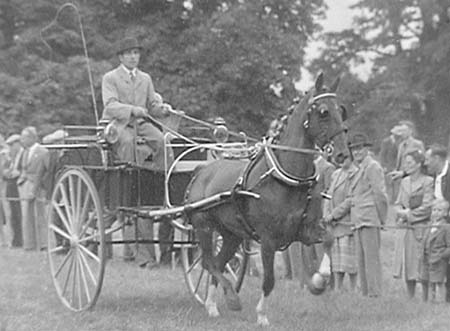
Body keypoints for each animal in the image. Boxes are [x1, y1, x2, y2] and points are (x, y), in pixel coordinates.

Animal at [183, 73, 348, 326]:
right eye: (323, 112)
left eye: (341, 110)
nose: (342, 154)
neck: (288, 178)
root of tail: (202, 170)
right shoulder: (268, 239)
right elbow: (269, 279)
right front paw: (261, 316)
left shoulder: (307, 229)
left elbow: (329, 240)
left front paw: (318, 281)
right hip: (203, 225)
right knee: (208, 262)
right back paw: (231, 298)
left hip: (231, 234)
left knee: (218, 263)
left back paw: (212, 306)